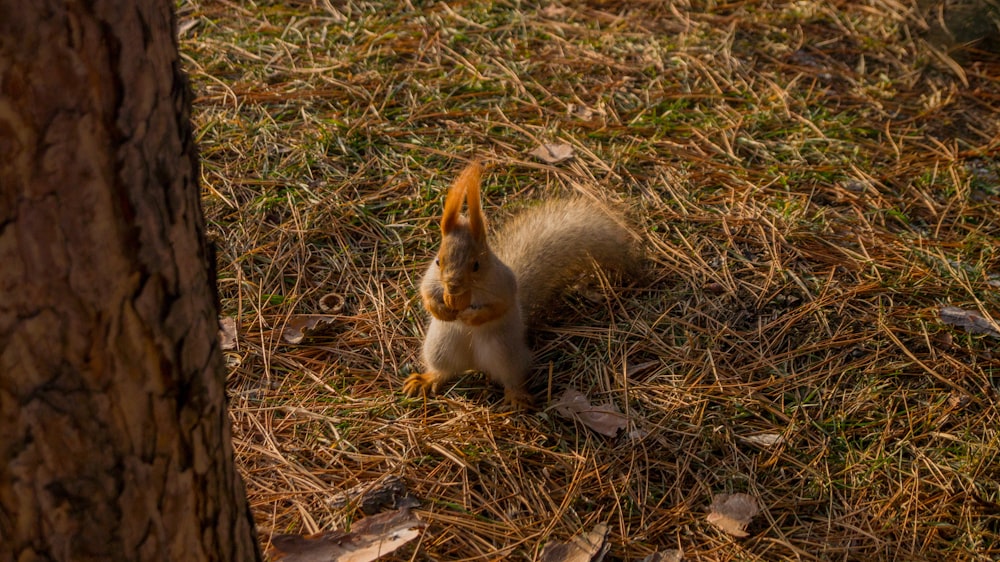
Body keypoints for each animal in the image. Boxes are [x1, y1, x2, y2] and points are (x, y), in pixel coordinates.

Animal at [400, 161, 640, 406]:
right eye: (438, 261)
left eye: (476, 265)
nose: (452, 285)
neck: (469, 292)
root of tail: (474, 363)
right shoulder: (431, 277)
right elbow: (425, 292)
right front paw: (440, 310)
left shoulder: (503, 284)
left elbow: (499, 307)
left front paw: (472, 317)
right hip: (440, 347)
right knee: (444, 370)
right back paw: (427, 379)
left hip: (505, 353)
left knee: (511, 377)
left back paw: (517, 396)